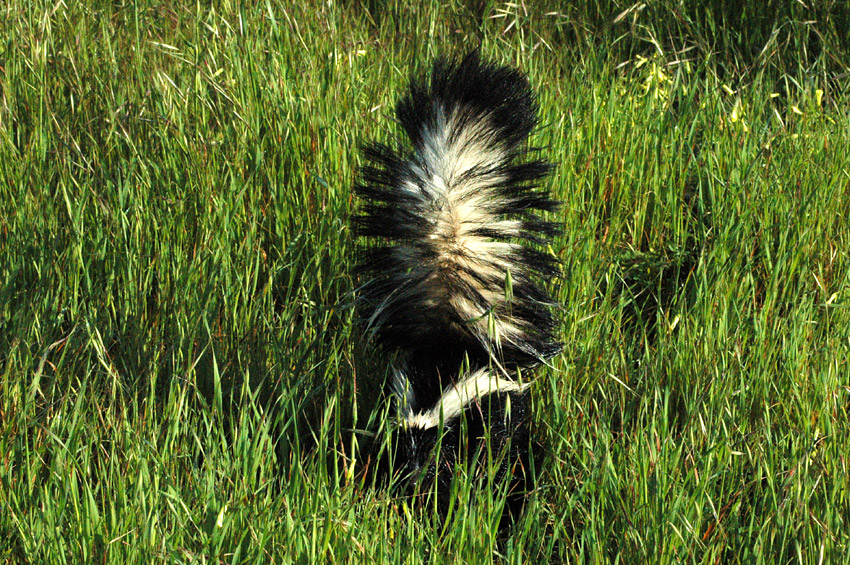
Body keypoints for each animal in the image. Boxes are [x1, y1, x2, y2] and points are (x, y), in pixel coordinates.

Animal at [352, 51, 556, 520]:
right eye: (403, 454)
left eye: (426, 454)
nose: (411, 475)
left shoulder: (476, 421)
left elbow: (475, 462)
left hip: (504, 408)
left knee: (508, 444)